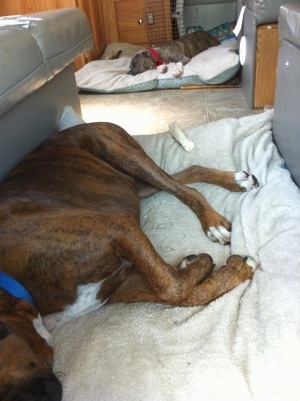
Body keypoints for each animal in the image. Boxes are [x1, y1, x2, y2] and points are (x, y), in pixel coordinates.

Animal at [0, 122, 258, 400]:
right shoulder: (120, 284)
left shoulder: (118, 227)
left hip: (120, 153)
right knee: (184, 174)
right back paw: (235, 181)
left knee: (185, 188)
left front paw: (208, 265)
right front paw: (215, 268)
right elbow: (182, 292)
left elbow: (173, 287)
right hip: (133, 182)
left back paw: (216, 216)